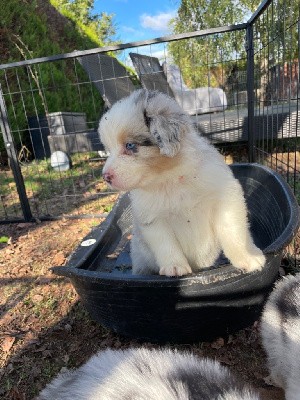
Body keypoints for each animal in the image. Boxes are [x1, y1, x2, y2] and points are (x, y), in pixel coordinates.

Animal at [98, 90, 264, 278]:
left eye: (130, 145)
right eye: (108, 150)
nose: (105, 177)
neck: (172, 178)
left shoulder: (226, 198)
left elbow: (234, 231)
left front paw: (248, 257)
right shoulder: (153, 219)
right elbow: (166, 244)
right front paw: (175, 267)